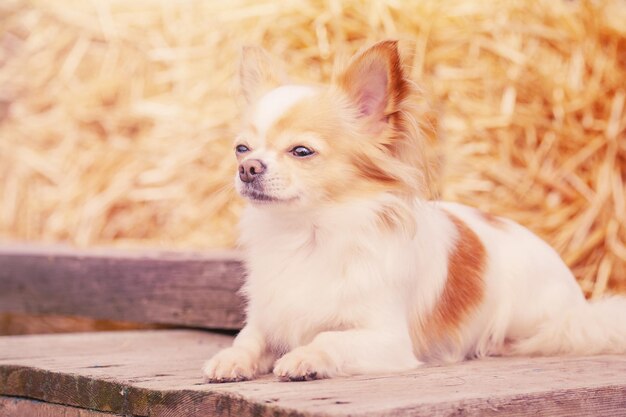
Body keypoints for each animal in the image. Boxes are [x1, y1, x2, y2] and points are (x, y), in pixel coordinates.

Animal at [202, 40, 620, 382]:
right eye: (241, 149)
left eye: (301, 151)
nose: (247, 168)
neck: (308, 234)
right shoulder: (269, 316)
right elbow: (248, 340)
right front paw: (230, 359)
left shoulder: (386, 339)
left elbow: (330, 338)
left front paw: (305, 357)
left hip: (538, 319)